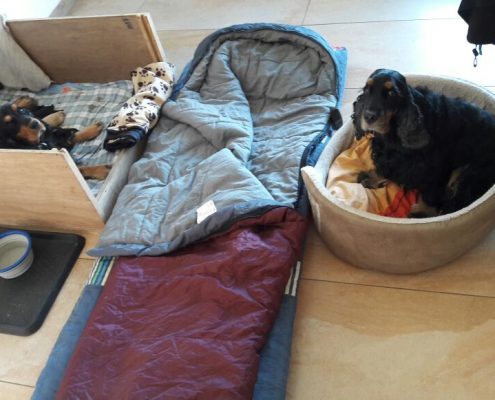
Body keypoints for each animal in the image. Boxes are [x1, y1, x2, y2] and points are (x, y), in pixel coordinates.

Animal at [352, 68, 495, 216]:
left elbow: (430, 192)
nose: (369, 116)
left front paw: (422, 212)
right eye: (367, 90)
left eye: (391, 93)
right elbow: (387, 168)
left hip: (469, 173)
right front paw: (372, 177)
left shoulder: (434, 166)